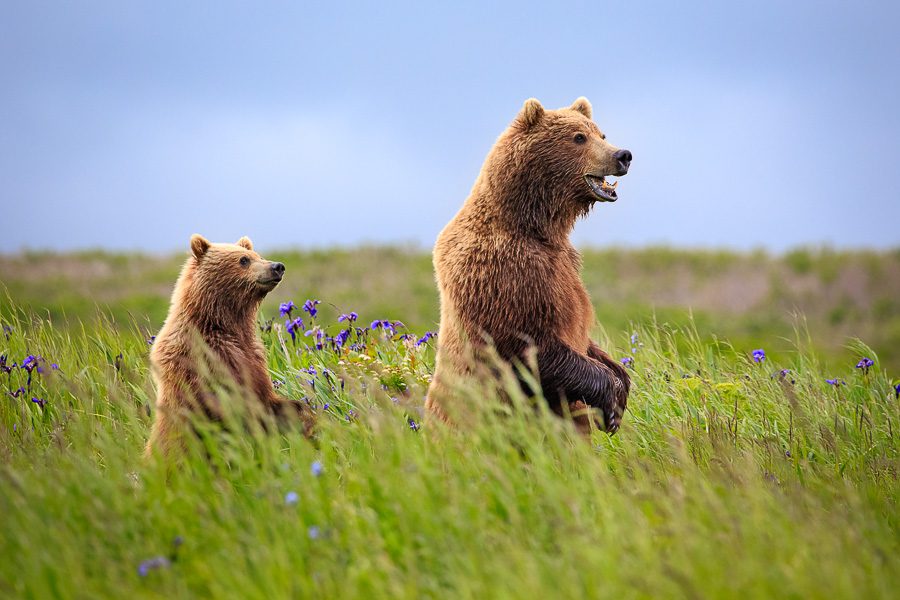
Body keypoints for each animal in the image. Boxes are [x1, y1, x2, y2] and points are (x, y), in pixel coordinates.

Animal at [146, 232, 314, 458]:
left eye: (258, 255)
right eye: (244, 260)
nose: (278, 266)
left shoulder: (252, 359)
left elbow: (270, 402)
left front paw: (309, 420)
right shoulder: (204, 363)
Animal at [428, 96, 632, 434]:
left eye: (601, 134)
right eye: (578, 137)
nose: (623, 155)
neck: (534, 225)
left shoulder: (566, 264)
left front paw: (622, 383)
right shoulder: (504, 269)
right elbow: (528, 343)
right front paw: (611, 399)